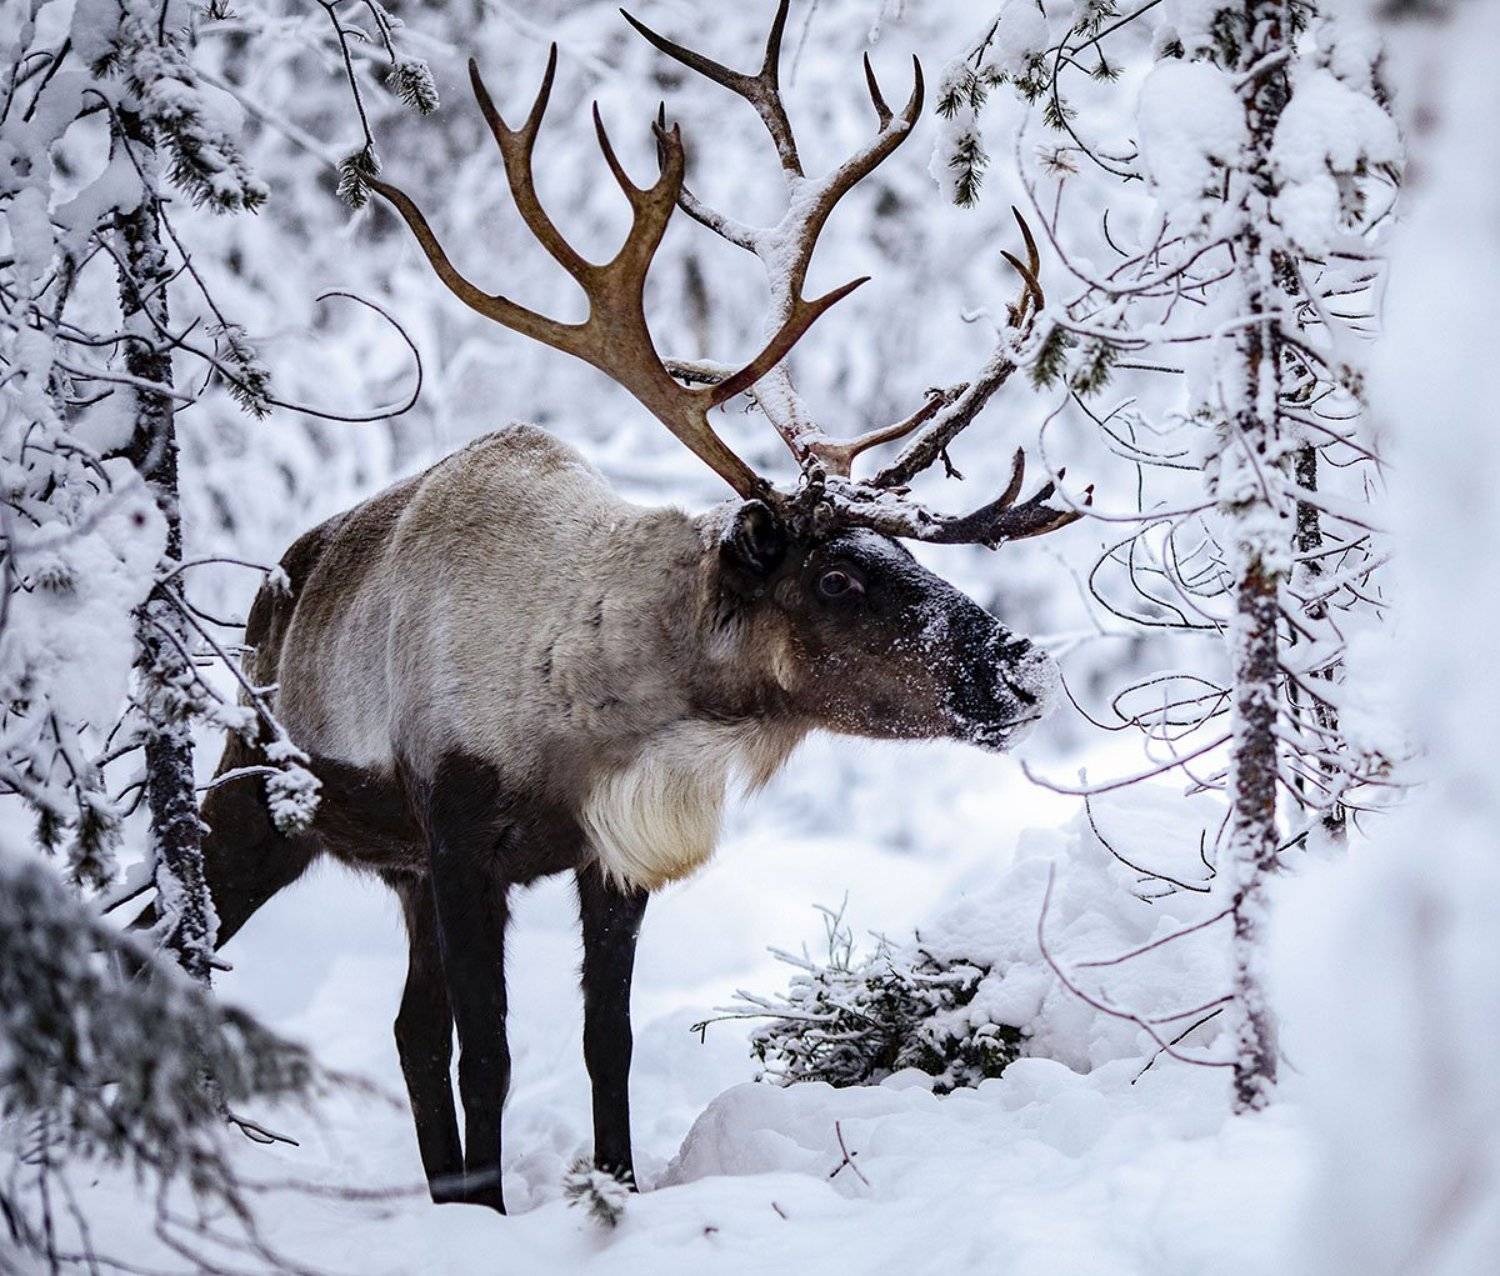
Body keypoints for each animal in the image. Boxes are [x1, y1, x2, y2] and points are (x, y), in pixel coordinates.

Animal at [153, 2, 1086, 1213]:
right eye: (836, 577)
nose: (1022, 667)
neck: (596, 699)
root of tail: (276, 587)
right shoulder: (462, 837)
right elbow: (492, 1051)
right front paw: (500, 1216)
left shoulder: (608, 858)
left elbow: (609, 1041)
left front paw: (614, 1192)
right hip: (257, 793)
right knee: (191, 945)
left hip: (394, 867)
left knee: (407, 1030)